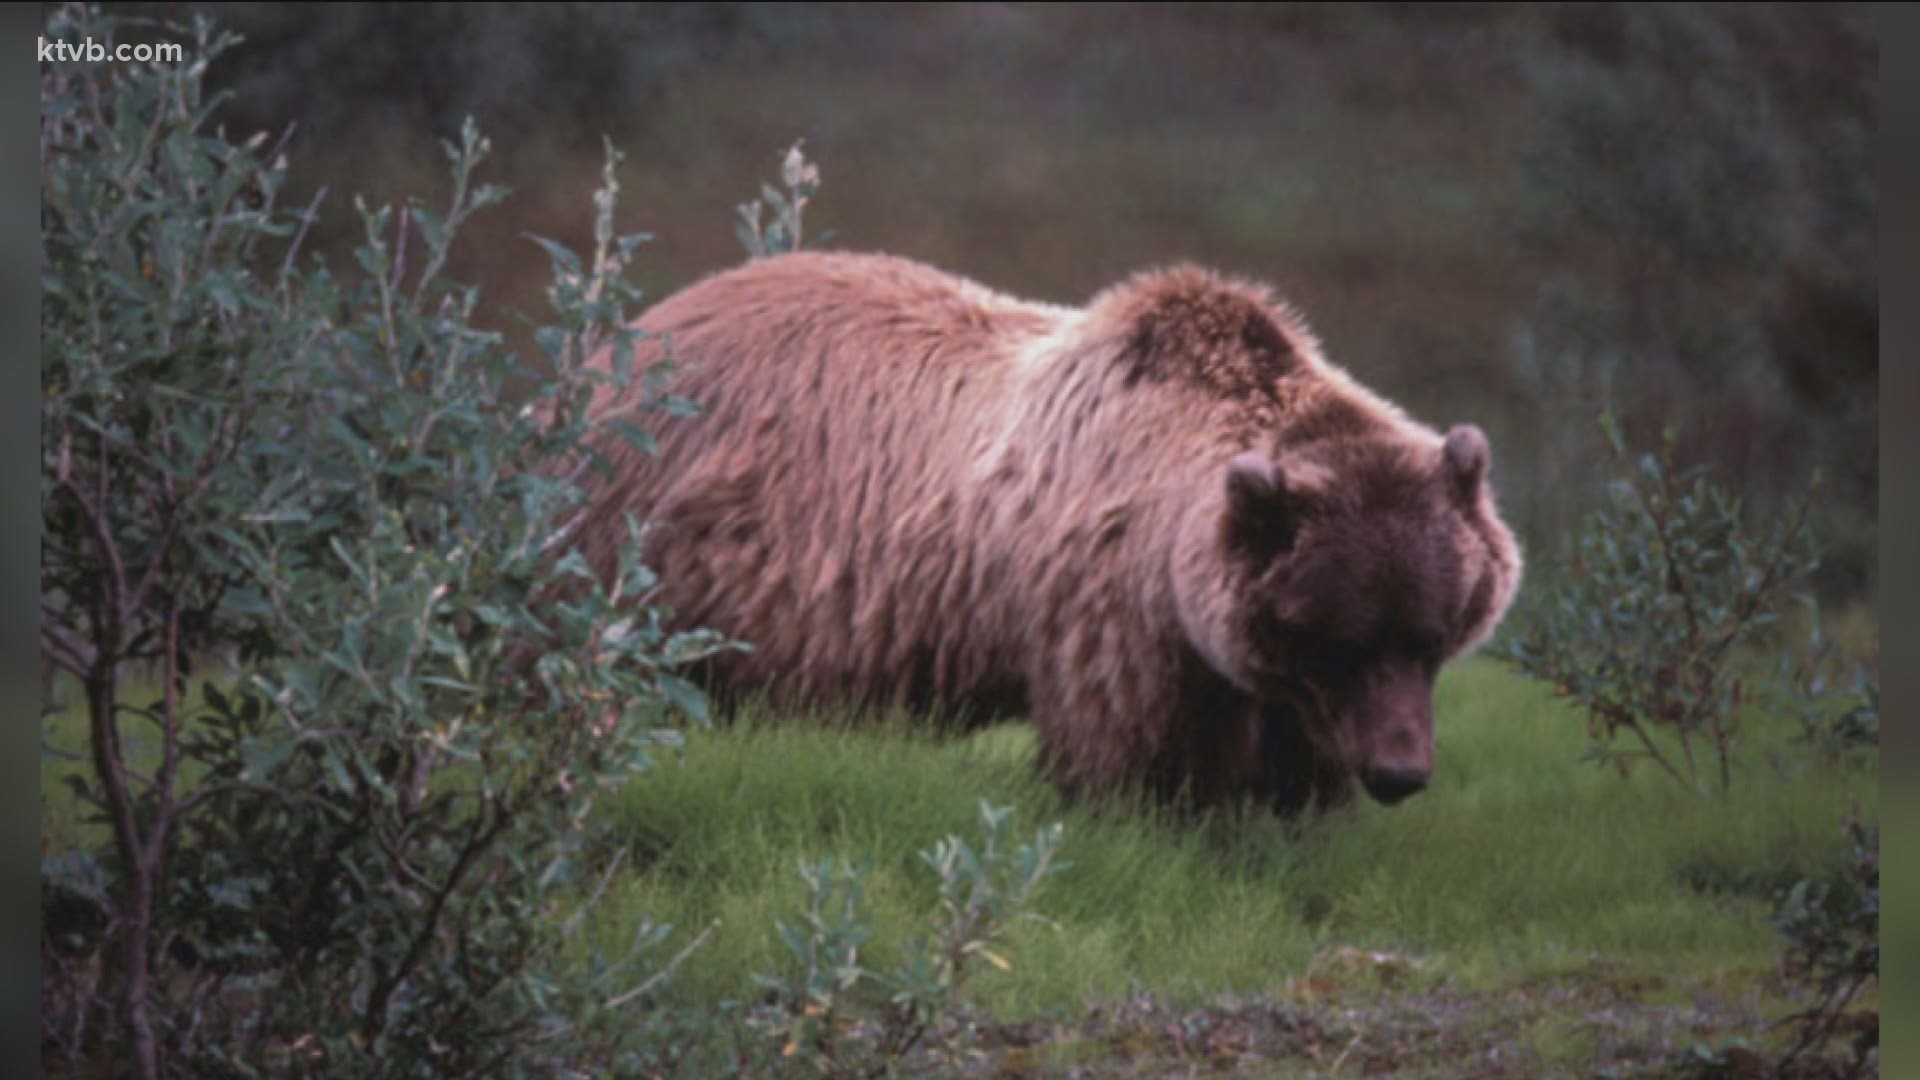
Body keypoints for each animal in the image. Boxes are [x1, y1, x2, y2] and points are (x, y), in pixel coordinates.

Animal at [568, 249, 1512, 807]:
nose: (1400, 772)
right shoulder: (1114, 606)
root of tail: (620, 339)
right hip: (654, 539)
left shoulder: (1244, 652)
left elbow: (1290, 755)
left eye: (1430, 633)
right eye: (1342, 637)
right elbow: (1125, 750)